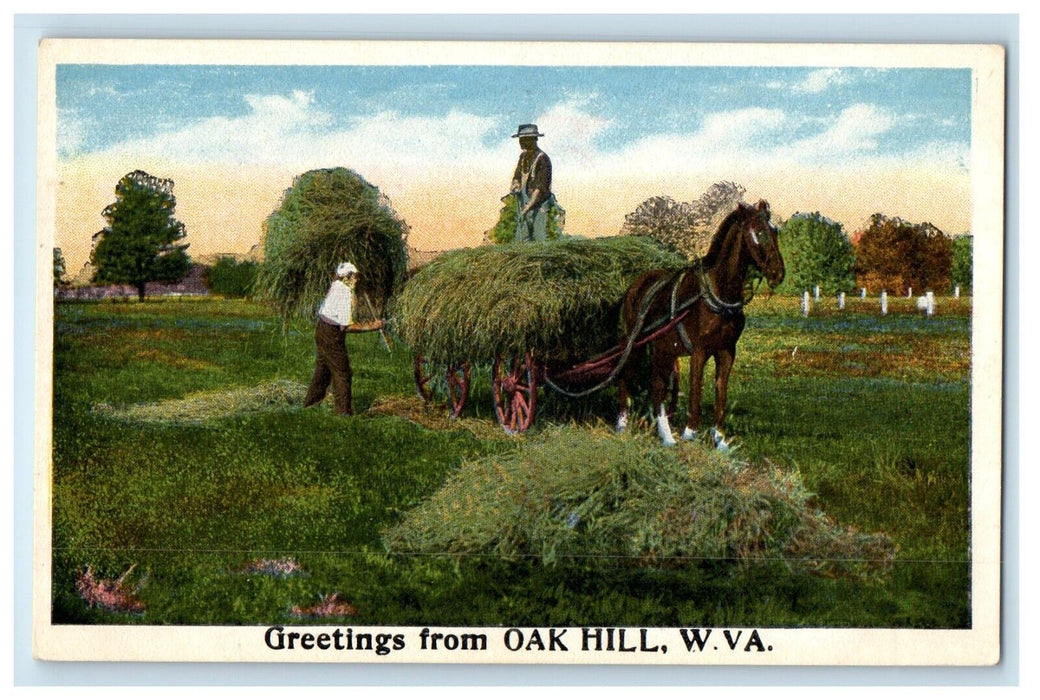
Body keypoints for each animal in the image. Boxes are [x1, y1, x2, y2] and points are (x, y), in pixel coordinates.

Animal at [615, 199, 782, 445]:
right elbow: (696, 388)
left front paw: (719, 438)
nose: (778, 273)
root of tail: (637, 284)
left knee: (657, 385)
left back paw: (666, 435)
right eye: (759, 232)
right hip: (635, 345)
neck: (717, 294)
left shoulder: (726, 351)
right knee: (625, 376)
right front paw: (690, 432)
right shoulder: (699, 351)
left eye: (775, 231)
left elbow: (720, 391)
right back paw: (622, 424)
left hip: (663, 348)